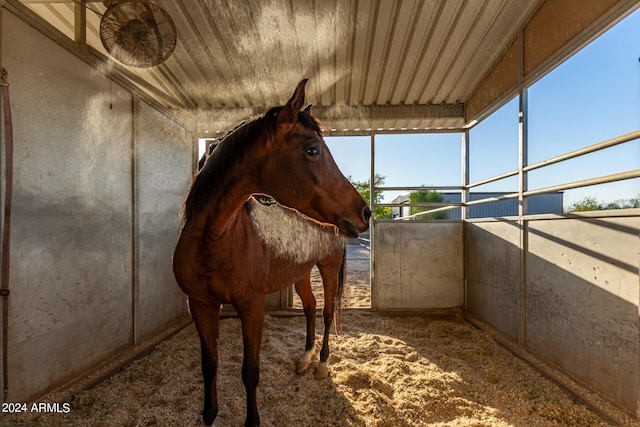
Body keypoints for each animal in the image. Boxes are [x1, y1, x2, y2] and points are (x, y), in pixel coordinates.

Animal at [172, 81, 370, 427]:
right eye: (313, 150)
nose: (365, 212)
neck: (214, 240)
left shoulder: (252, 307)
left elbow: (250, 372)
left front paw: (253, 420)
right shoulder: (200, 305)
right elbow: (209, 365)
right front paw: (209, 416)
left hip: (328, 268)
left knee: (327, 312)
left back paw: (321, 364)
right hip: (301, 273)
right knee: (310, 308)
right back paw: (304, 359)